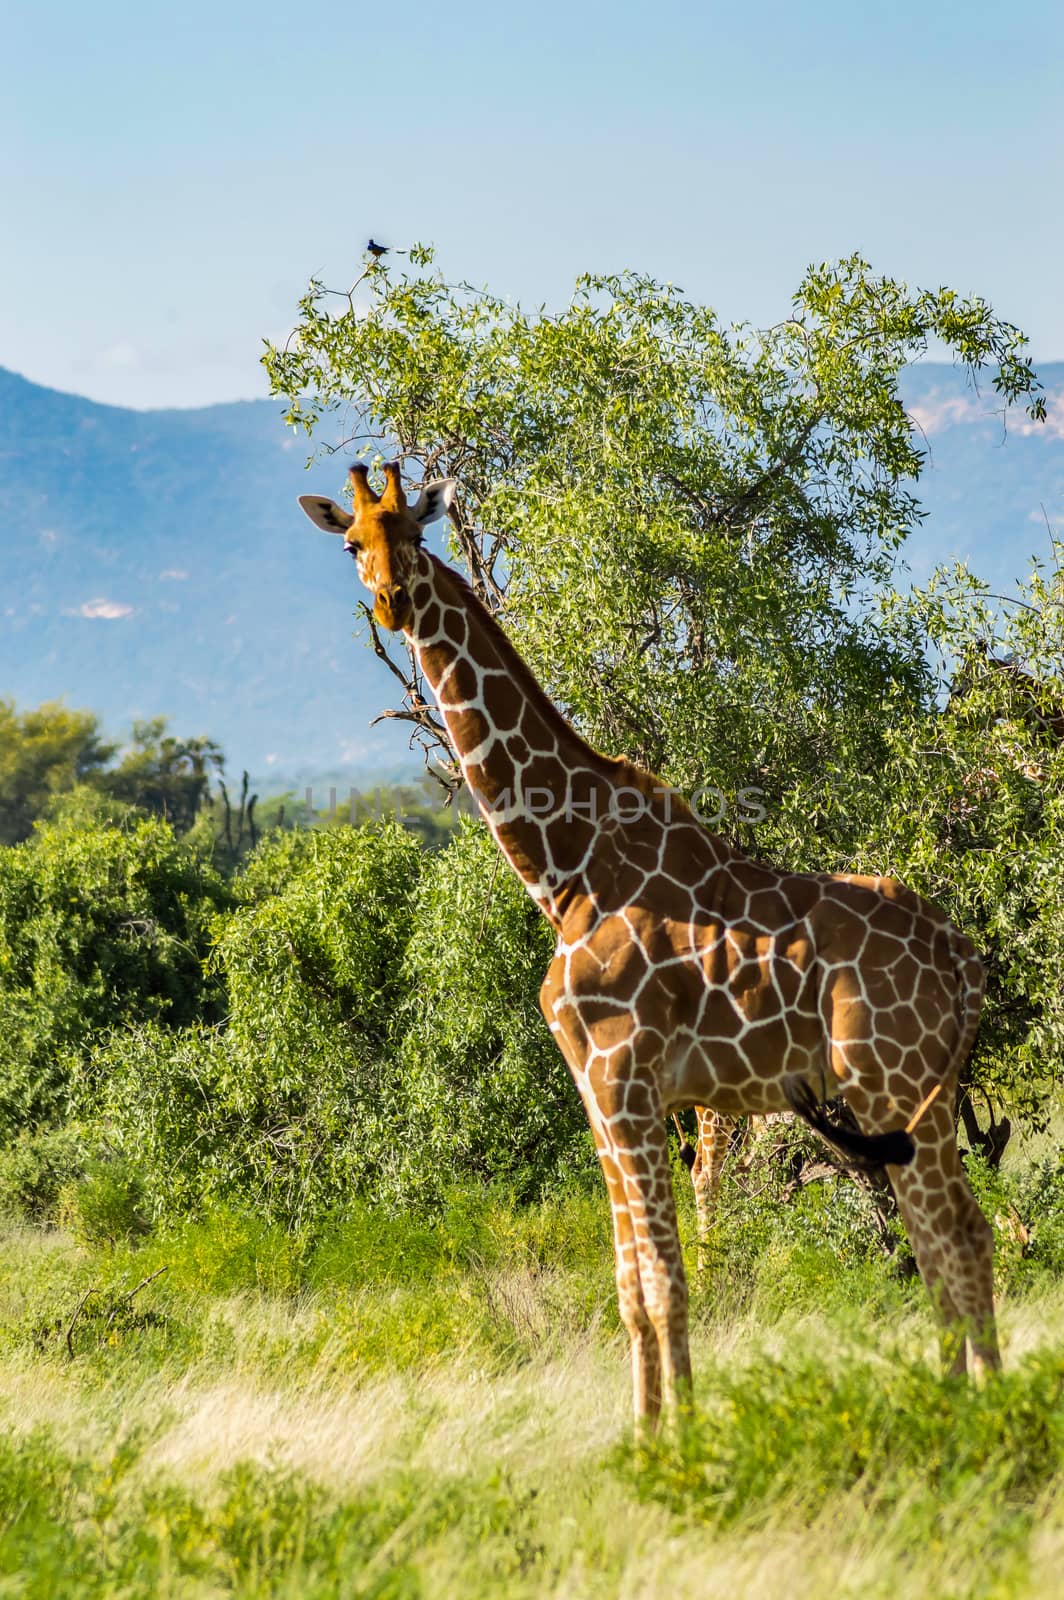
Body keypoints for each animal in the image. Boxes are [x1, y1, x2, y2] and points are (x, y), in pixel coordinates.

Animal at [296, 460, 998, 1427]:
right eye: (352, 543)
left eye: (414, 532)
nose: (394, 601)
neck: (566, 872)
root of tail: (965, 960)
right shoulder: (595, 1088)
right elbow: (630, 1283)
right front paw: (645, 1432)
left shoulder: (626, 1075)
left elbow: (668, 1278)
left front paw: (684, 1439)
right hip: (905, 1096)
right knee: (954, 1235)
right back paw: (956, 1400)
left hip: (892, 1086)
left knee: (953, 1235)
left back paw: (980, 1408)